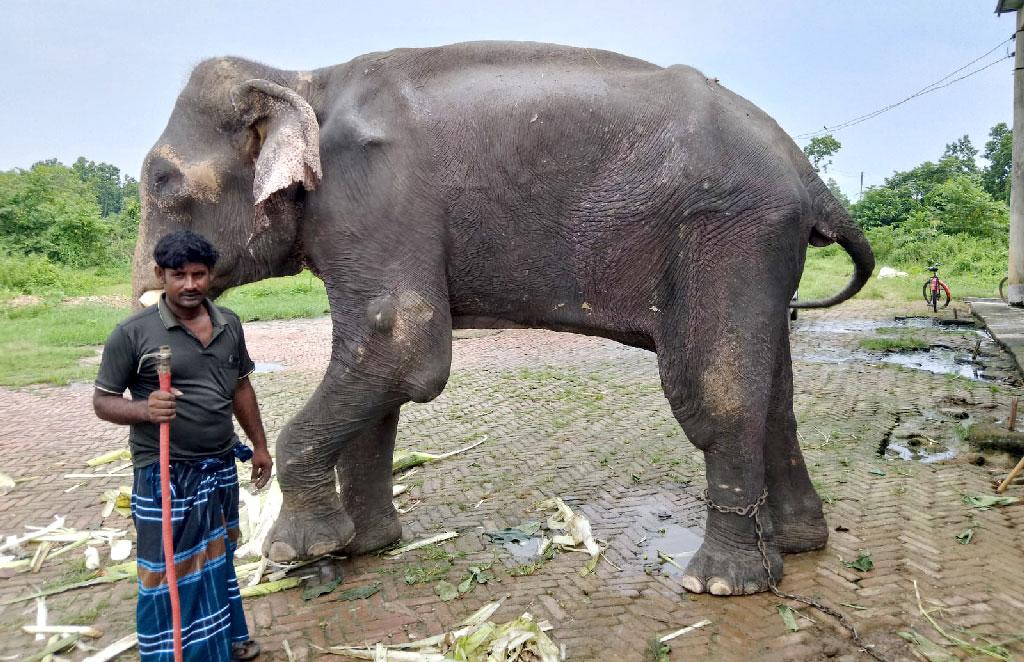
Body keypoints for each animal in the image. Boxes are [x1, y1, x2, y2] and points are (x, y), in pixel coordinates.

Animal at [132, 42, 876, 602]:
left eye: (164, 183)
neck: (302, 78)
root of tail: (809, 175)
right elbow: (379, 368)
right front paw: (366, 547)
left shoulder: (375, 199)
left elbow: (405, 347)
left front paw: (293, 551)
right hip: (763, 245)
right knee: (773, 394)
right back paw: (794, 547)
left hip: (728, 231)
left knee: (714, 396)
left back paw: (722, 584)